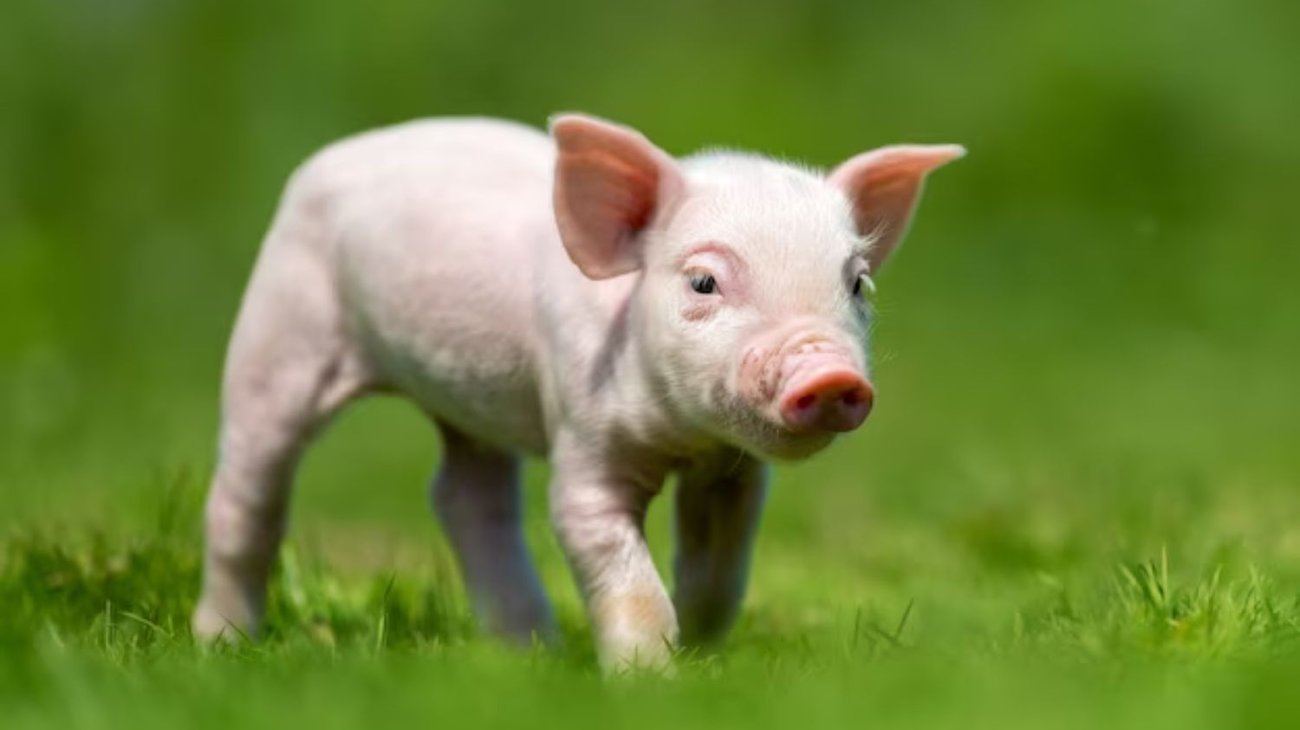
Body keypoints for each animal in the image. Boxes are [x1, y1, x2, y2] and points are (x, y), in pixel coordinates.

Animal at [192, 113, 963, 670]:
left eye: (858, 283)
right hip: (280, 328)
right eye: (703, 282)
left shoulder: (732, 473)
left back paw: (530, 652)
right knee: (247, 488)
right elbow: (609, 556)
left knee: (464, 495)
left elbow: (718, 572)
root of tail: (337, 153)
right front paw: (650, 680)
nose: (828, 372)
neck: (682, 439)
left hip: (466, 402)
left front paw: (703, 657)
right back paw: (221, 645)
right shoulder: (582, 437)